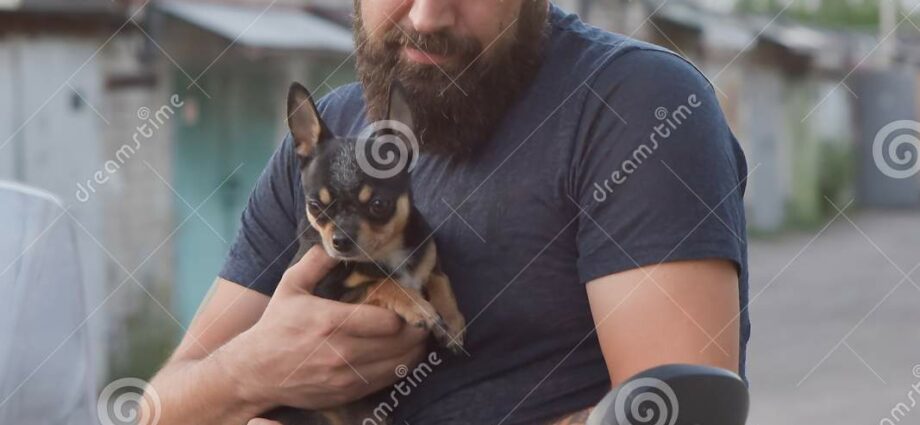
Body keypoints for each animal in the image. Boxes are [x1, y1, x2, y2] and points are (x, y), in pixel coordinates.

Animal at [262, 81, 470, 422]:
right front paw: (418, 305)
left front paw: (451, 321)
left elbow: (440, 277)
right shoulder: (328, 296)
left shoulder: (427, 254)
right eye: (315, 206)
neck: (387, 252)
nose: (340, 241)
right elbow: (381, 282)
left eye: (378, 205)